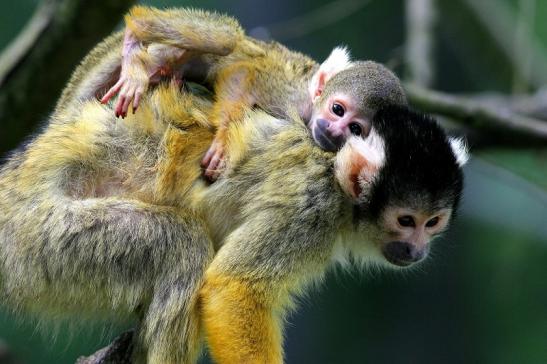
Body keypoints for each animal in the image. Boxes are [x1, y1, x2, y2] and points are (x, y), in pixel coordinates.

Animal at [88, 6, 408, 180]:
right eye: (337, 109)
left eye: (354, 129)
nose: (333, 129)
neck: (308, 107)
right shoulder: (290, 96)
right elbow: (243, 73)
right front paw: (224, 139)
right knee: (228, 40)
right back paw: (137, 33)